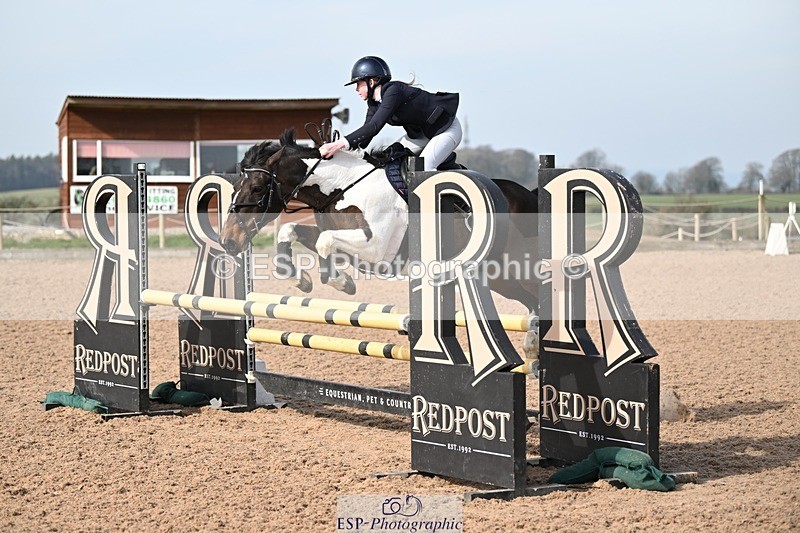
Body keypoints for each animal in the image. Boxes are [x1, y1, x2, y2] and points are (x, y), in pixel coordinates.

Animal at [219, 129, 540, 354]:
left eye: (257, 188)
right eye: (235, 187)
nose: (229, 242)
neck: (342, 186)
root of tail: (528, 195)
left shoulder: (376, 250)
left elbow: (324, 243)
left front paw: (341, 282)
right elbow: (293, 233)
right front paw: (302, 280)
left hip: (512, 269)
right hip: (497, 276)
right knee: (530, 300)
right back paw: (532, 344)